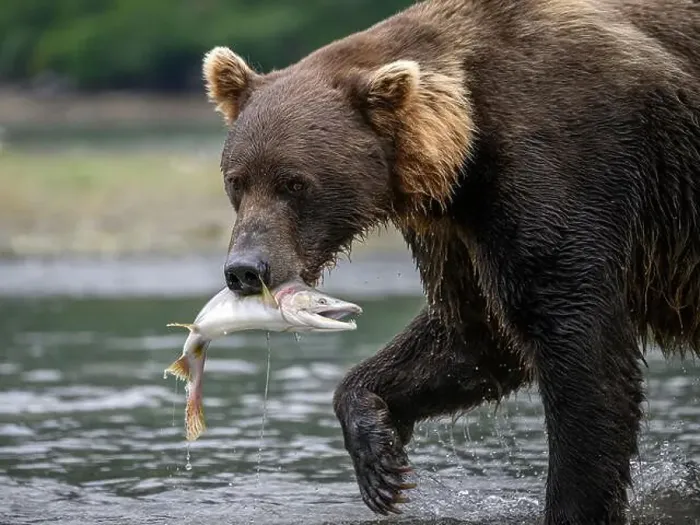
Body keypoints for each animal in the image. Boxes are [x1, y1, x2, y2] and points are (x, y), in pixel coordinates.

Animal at [200, 0, 700, 523]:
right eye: (237, 180)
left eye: (294, 183)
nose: (245, 269)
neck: (464, 145)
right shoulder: (457, 229)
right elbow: (474, 335)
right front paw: (381, 462)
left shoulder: (570, 162)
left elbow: (578, 343)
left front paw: (574, 501)